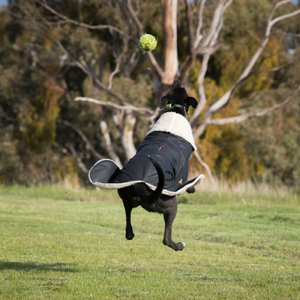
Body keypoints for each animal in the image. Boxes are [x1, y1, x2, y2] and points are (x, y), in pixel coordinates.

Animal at [88, 79, 203, 251]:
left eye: (175, 86)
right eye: (181, 87)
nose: (176, 79)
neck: (174, 111)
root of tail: (140, 184)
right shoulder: (183, 170)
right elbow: (186, 181)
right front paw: (192, 188)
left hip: (127, 200)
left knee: (128, 228)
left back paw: (131, 233)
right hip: (170, 205)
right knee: (166, 238)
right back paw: (178, 245)